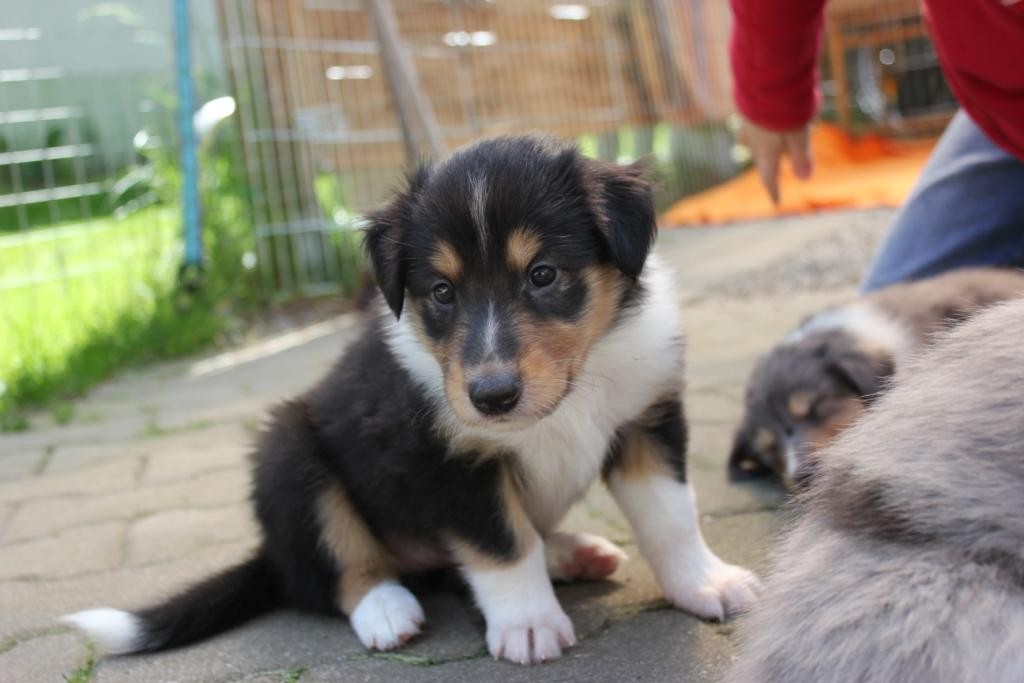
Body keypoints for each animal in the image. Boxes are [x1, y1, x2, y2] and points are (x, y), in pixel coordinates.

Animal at [62, 135, 760, 665]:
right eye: (442, 291)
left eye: (543, 275)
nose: (491, 397)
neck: (573, 390)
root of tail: (270, 556)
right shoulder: (448, 457)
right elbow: (502, 545)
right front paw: (528, 625)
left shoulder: (646, 417)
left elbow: (671, 518)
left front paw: (707, 583)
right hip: (286, 451)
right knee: (339, 570)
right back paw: (386, 607)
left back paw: (570, 552)